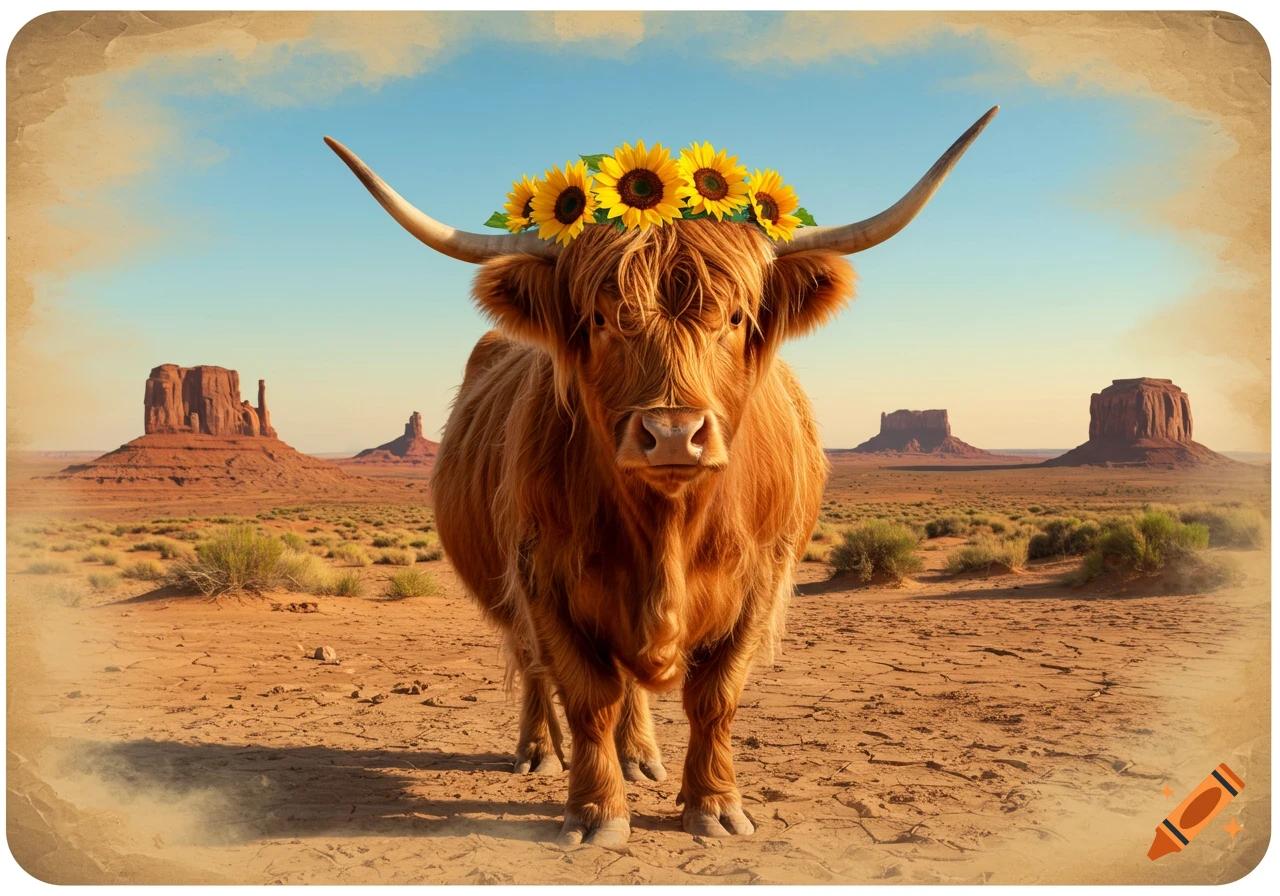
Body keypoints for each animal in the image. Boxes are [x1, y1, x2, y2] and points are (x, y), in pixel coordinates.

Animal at [325, 107, 997, 848]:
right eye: (599, 319)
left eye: (734, 316)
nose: (674, 433)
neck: (667, 528)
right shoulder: (540, 574)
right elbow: (586, 693)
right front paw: (596, 813)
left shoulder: (763, 575)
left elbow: (715, 696)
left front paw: (714, 805)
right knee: (533, 666)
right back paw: (538, 752)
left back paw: (641, 755)